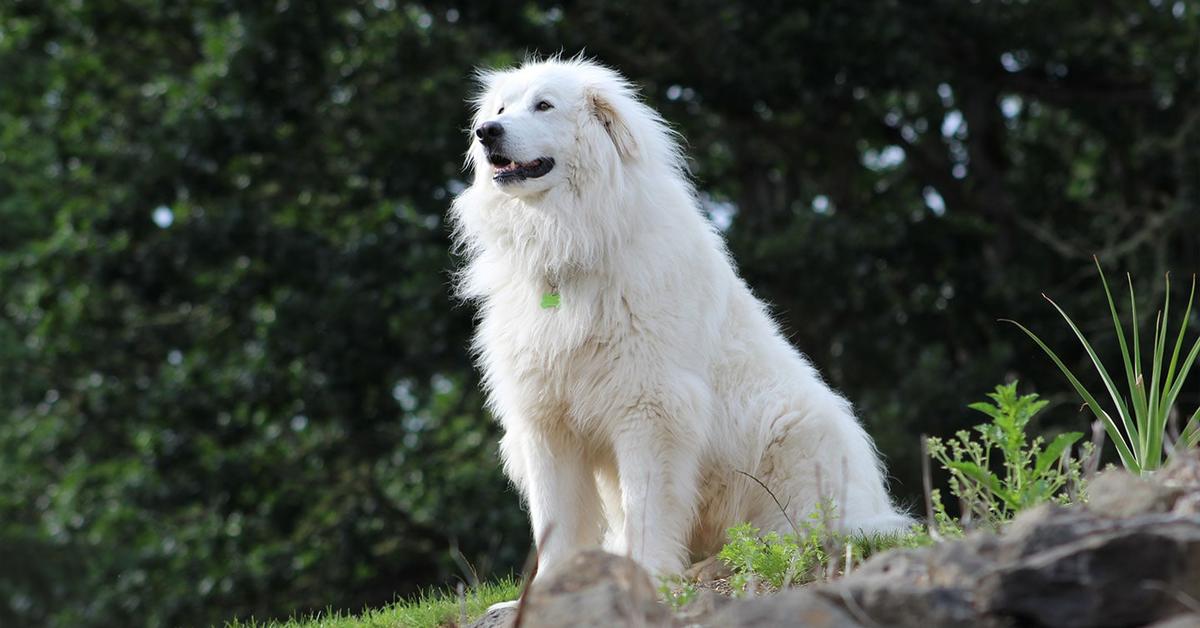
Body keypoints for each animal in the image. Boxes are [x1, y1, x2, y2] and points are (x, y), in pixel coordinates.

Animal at [451, 58, 907, 585]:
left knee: (789, 540)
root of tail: (876, 511)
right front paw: (553, 587)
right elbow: (555, 519)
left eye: (543, 105)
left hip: (795, 433)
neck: (569, 243)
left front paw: (647, 575)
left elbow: (647, 506)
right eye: (502, 109)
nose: (486, 131)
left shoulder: (650, 409)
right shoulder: (546, 421)